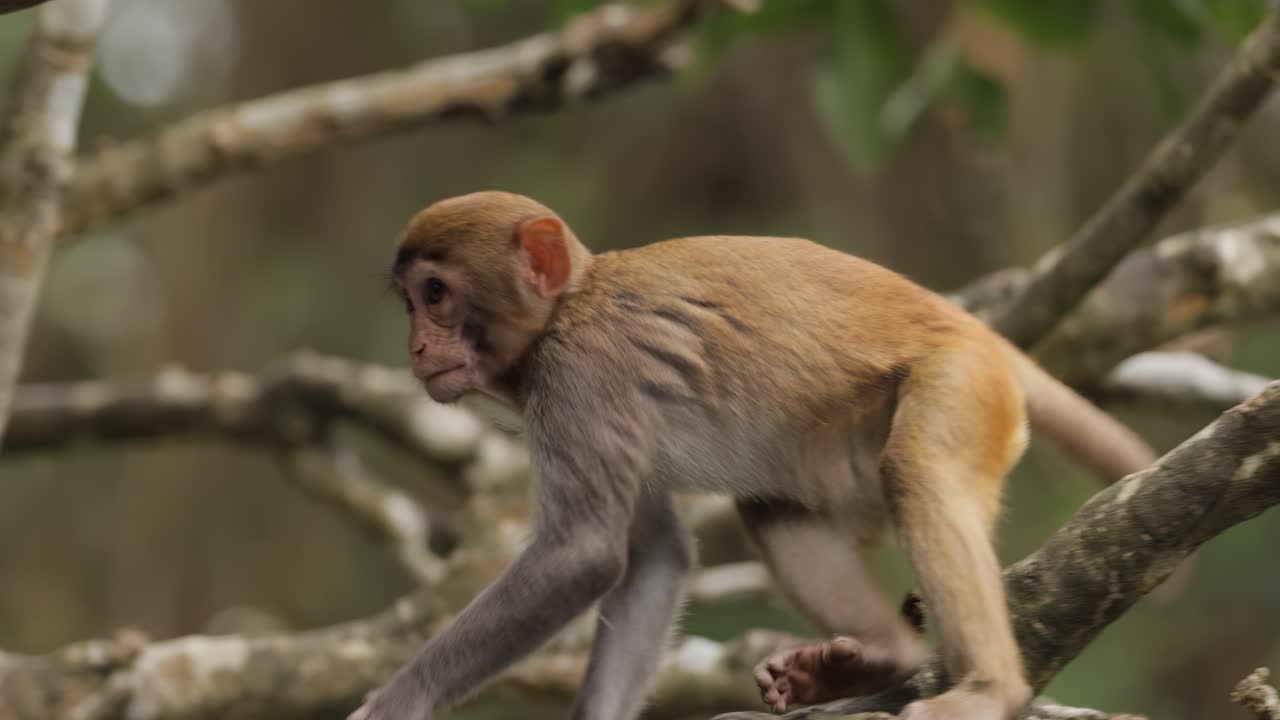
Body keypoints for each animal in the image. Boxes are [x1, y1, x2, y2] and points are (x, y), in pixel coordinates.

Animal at [349, 191, 1156, 720]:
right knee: (775, 508)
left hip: (960, 383)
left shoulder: (580, 379)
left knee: (918, 470)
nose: (416, 348)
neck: (567, 307)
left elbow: (583, 555)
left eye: (436, 295)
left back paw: (990, 691)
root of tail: (973, 330)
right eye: (413, 305)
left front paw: (399, 702)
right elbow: (656, 555)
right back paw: (879, 657)